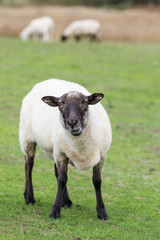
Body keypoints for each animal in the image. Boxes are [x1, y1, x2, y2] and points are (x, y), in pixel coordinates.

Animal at [19, 78, 112, 219]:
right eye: (60, 104)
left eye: (85, 103)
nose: (72, 123)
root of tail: (45, 81)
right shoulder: (61, 154)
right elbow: (62, 180)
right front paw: (54, 212)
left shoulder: (101, 156)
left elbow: (97, 181)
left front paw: (102, 212)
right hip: (27, 137)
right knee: (28, 166)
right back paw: (29, 197)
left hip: (55, 148)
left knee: (56, 172)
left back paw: (66, 201)